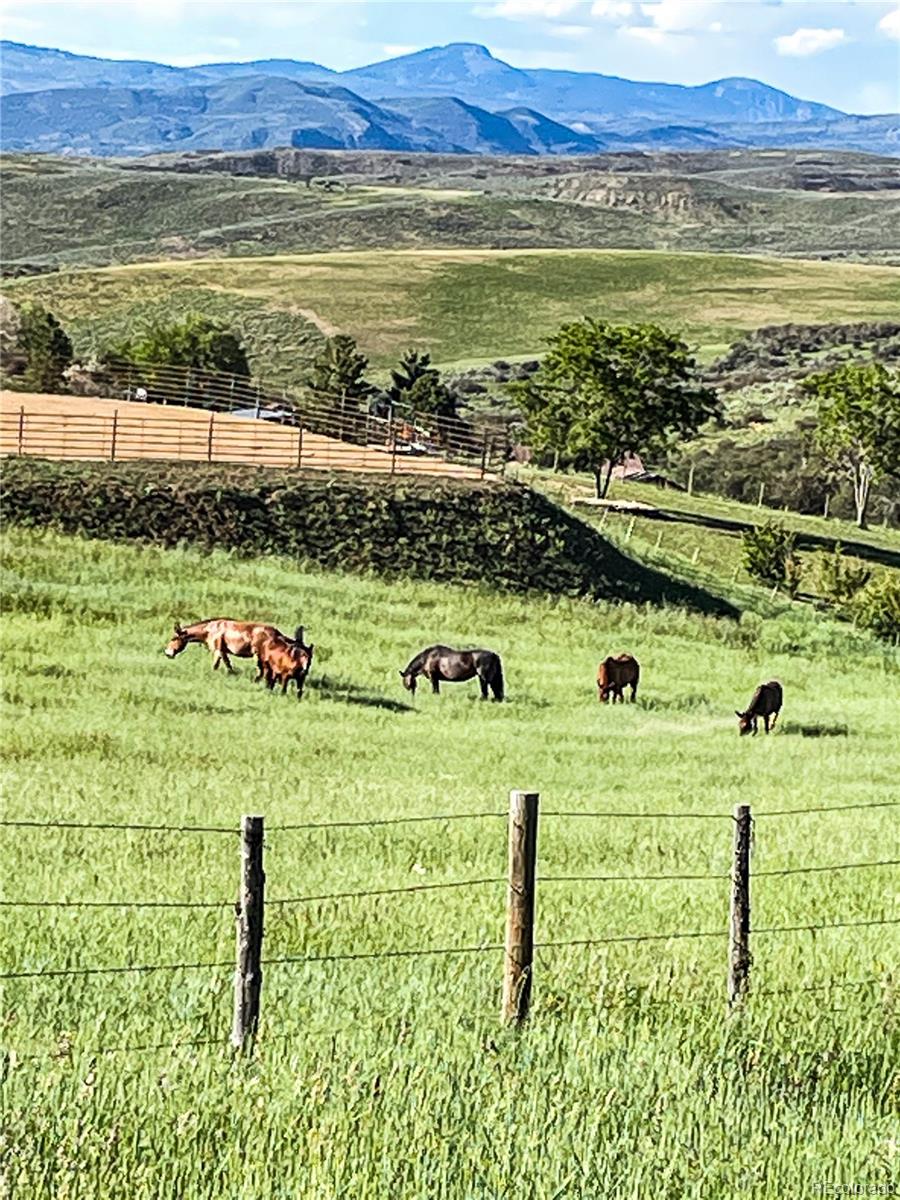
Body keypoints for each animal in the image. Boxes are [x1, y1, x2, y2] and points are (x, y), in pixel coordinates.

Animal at [162, 619, 303, 676]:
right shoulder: (223, 652)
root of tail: (276, 632)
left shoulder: (217, 650)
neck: (210, 629)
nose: (167, 653)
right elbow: (227, 664)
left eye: (174, 638)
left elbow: (216, 665)